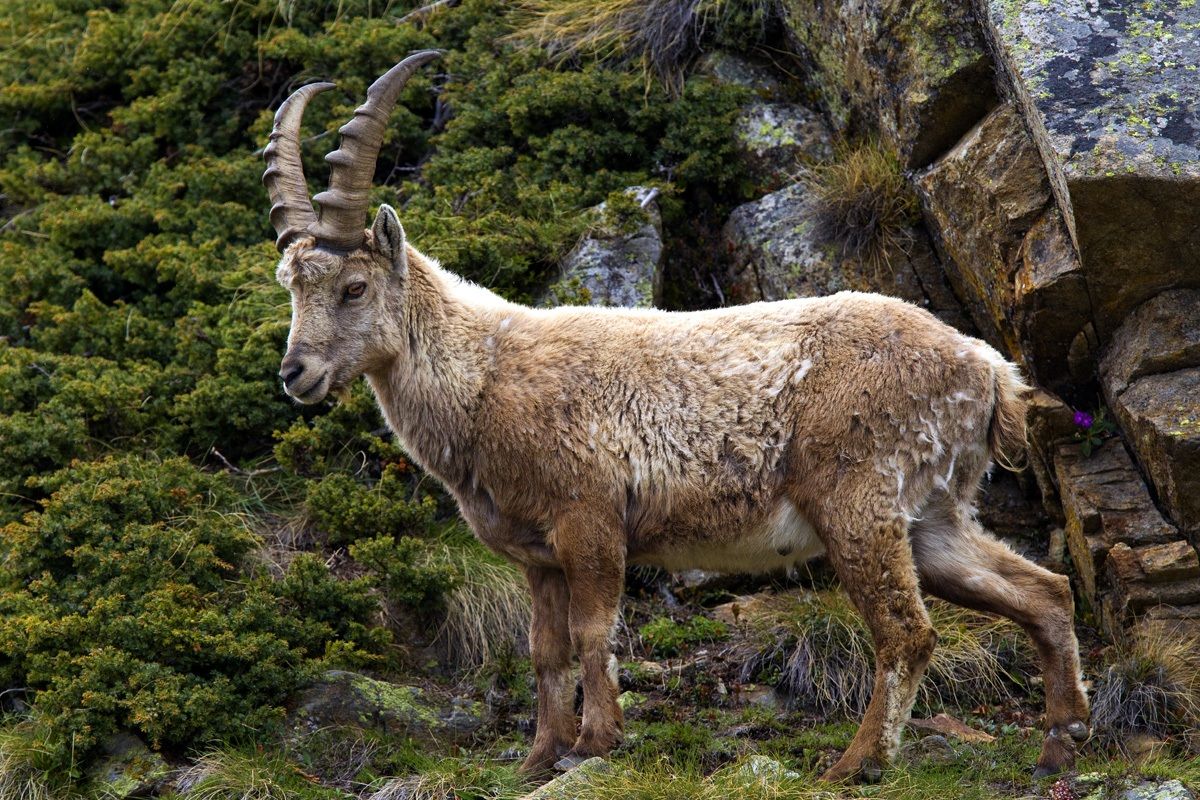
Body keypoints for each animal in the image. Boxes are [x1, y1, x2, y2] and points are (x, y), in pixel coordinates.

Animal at [262, 53, 1089, 781]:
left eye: (355, 287)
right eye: (290, 284)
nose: (294, 373)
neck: (484, 376)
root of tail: (984, 366)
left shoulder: (590, 519)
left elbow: (593, 632)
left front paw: (596, 742)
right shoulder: (538, 555)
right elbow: (544, 649)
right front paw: (537, 757)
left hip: (858, 500)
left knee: (907, 633)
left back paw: (858, 763)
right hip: (933, 514)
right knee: (1043, 591)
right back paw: (1059, 743)